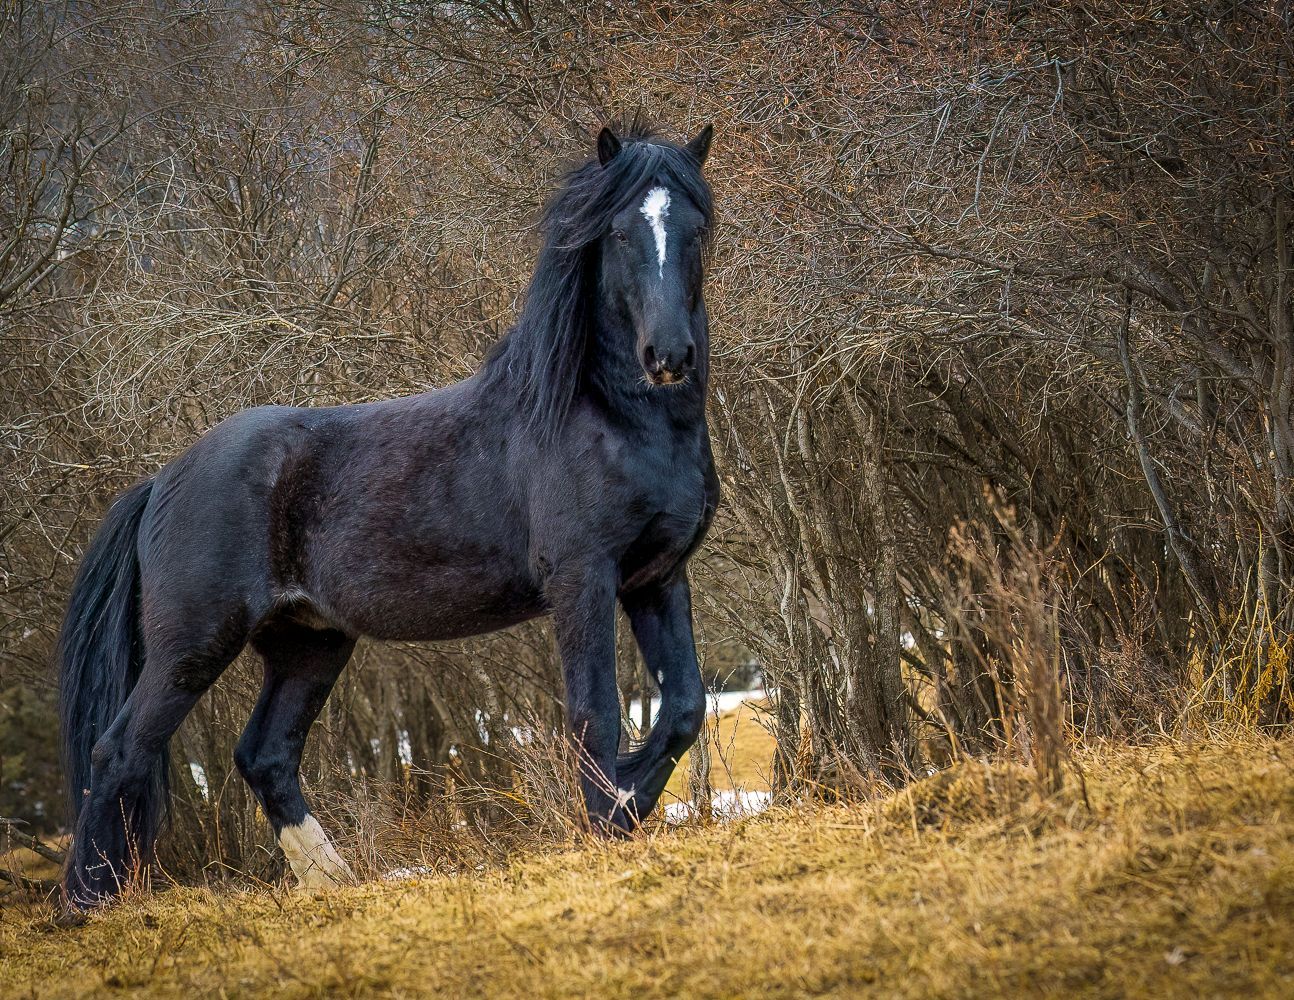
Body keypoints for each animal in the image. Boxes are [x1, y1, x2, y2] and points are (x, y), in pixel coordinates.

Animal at [58, 123, 718, 908]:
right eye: (619, 231)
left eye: (696, 227)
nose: (668, 355)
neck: (608, 417)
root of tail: (163, 479)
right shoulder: (582, 578)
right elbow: (596, 712)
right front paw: (606, 827)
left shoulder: (656, 578)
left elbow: (683, 707)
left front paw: (629, 803)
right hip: (192, 643)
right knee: (121, 749)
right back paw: (89, 901)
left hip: (310, 642)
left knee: (264, 754)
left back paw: (333, 881)